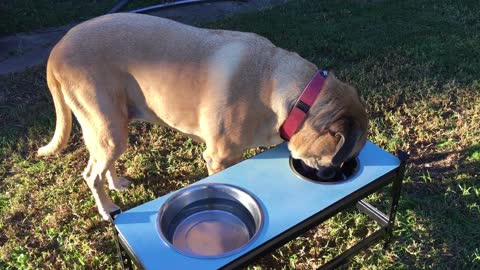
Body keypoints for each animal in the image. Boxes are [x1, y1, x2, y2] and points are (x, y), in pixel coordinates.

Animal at [38, 12, 368, 220]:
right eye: (338, 158)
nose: (334, 176)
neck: (294, 95)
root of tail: (57, 49)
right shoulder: (219, 158)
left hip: (112, 126)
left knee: (101, 164)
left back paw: (116, 183)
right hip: (108, 128)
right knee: (91, 173)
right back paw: (107, 209)